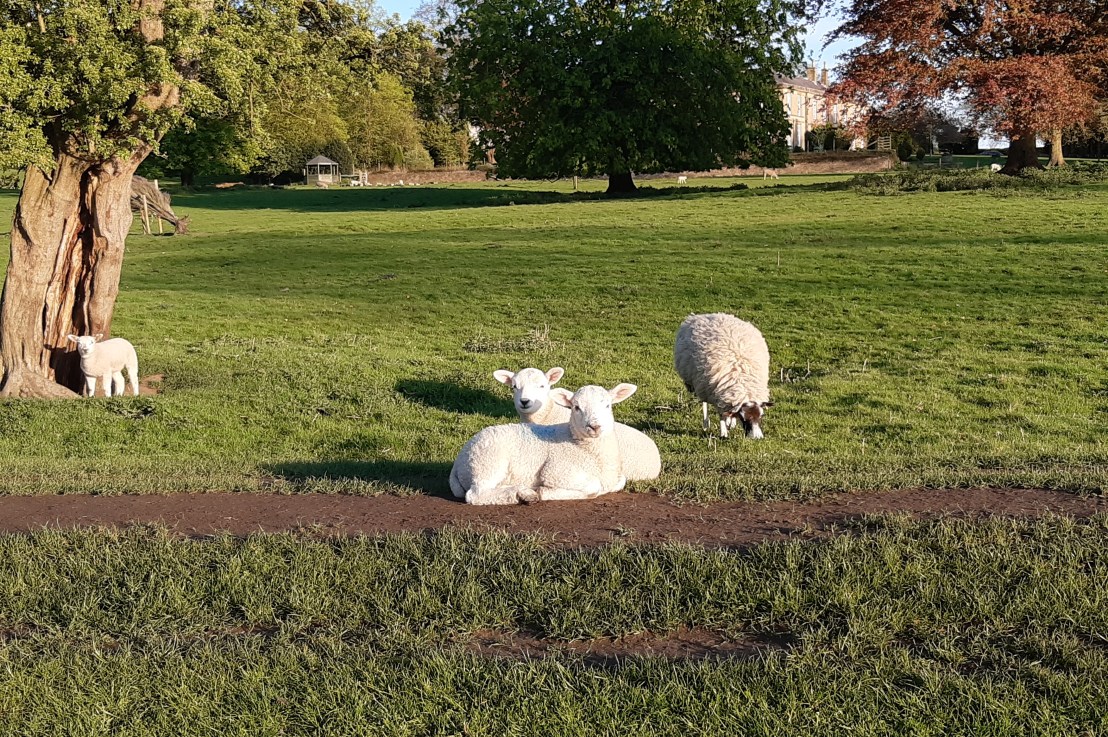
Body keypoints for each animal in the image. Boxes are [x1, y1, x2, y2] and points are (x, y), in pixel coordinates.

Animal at [450, 384, 637, 505]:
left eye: (608, 405)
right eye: (576, 407)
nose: (594, 426)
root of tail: (458, 462)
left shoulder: (615, 477)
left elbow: (620, 481)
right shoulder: (557, 471)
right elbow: (594, 487)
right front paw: (546, 492)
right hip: (488, 461)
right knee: (476, 495)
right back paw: (524, 494)